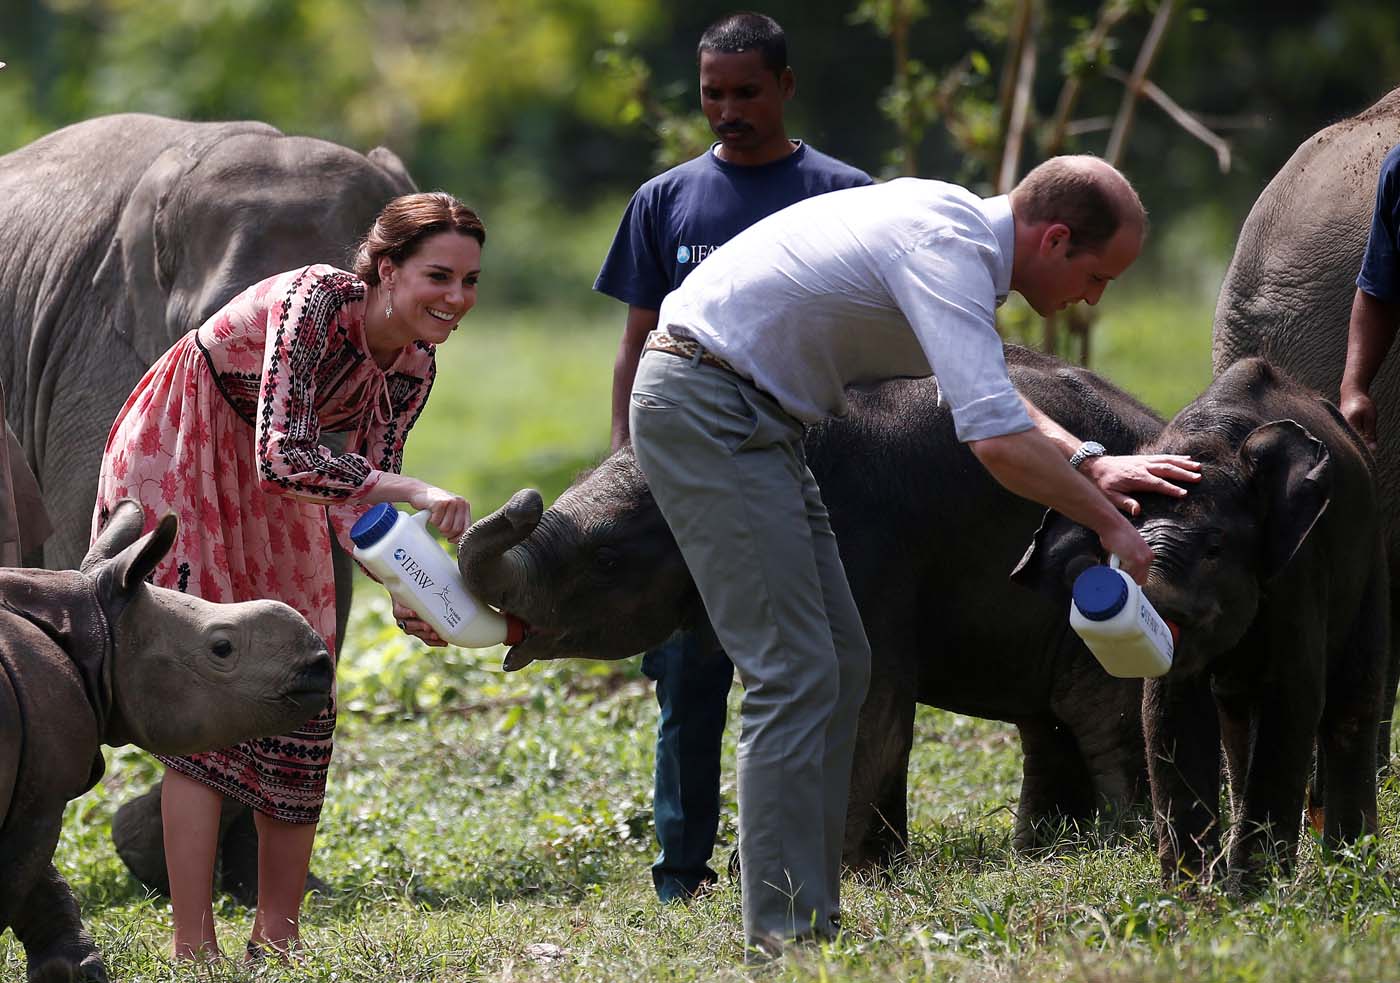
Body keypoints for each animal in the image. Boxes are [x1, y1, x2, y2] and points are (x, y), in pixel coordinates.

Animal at [1, 501, 331, 983]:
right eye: (221, 648)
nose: (322, 666)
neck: (98, 625)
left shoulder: (32, 787)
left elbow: (41, 882)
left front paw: (76, 972)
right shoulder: (38, 794)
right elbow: (24, 874)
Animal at [1019, 358, 1388, 890]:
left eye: (1214, 550)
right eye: (1114, 553)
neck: (1210, 445)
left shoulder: (1298, 569)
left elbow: (1292, 698)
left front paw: (1252, 893)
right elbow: (1169, 709)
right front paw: (1192, 894)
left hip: (1370, 555)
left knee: (1350, 701)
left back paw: (1352, 871)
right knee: (1235, 713)